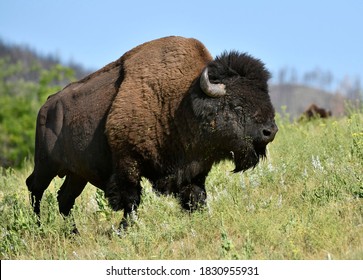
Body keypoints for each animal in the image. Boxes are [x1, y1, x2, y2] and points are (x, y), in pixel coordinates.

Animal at [27, 35, 278, 232]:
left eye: (264, 95)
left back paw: (73, 233)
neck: (182, 102)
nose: (270, 131)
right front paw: (126, 229)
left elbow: (196, 197)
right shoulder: (128, 161)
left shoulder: (194, 170)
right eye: (236, 104)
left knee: (64, 199)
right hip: (46, 164)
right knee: (35, 188)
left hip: (77, 173)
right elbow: (131, 199)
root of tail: (47, 105)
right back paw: (38, 228)